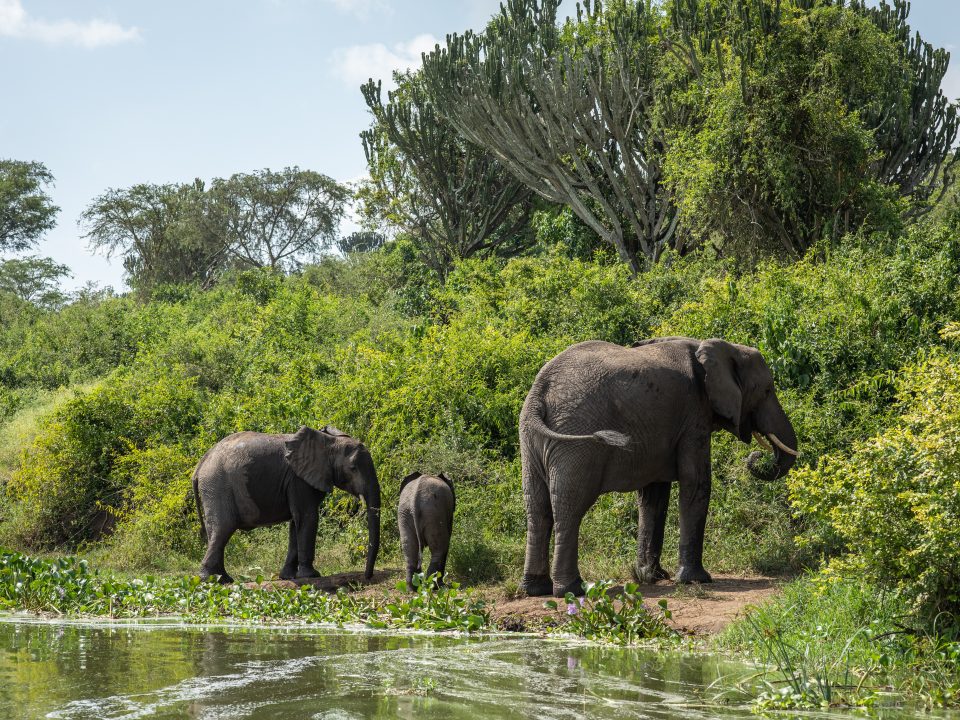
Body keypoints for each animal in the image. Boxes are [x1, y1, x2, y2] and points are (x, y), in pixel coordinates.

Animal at [192, 425, 381, 584]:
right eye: (353, 467)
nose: (367, 576)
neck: (328, 441)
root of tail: (200, 465)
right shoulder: (298, 479)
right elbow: (307, 517)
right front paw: (312, 575)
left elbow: (295, 522)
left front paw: (288, 577)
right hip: (217, 486)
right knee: (223, 528)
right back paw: (210, 580)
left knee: (216, 531)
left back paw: (223, 579)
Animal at [518, 337, 798, 598]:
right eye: (767, 390)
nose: (755, 456)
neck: (716, 346)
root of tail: (539, 395)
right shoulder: (694, 412)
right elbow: (696, 482)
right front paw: (696, 580)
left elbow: (653, 497)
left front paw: (651, 576)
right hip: (575, 440)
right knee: (570, 508)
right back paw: (573, 590)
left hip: (531, 440)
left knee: (537, 508)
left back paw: (536, 589)